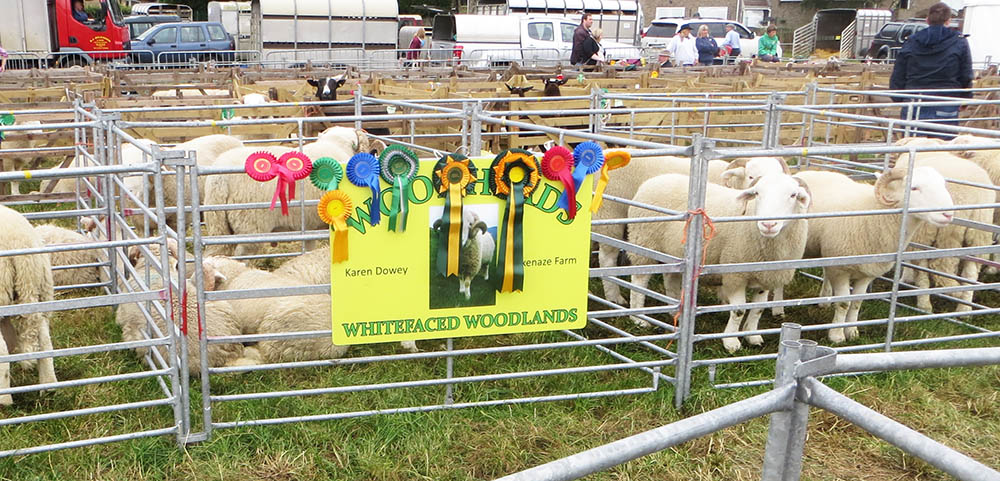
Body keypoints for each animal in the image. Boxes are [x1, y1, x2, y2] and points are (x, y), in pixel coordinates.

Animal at [624, 172, 812, 352]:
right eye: (757, 193)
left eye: (793, 195)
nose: (768, 224)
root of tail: (654, 180)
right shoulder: (735, 275)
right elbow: (739, 310)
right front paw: (731, 342)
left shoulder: (767, 276)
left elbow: (758, 309)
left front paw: (752, 336)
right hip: (644, 243)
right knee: (639, 282)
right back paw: (638, 318)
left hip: (673, 251)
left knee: (671, 279)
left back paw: (674, 312)